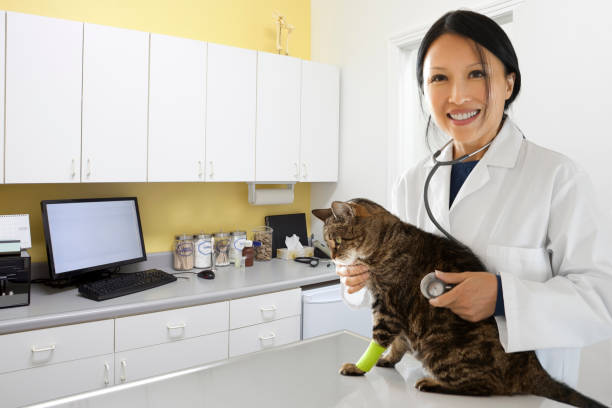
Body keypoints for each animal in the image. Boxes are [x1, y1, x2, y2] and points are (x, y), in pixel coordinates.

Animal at [316, 198, 608, 408]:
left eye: (337, 240)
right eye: (328, 242)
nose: (333, 257)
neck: (385, 243)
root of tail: (531, 366)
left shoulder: (387, 304)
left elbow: (379, 337)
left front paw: (358, 366)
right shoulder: (396, 313)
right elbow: (398, 342)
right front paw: (388, 359)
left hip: (439, 349)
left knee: (486, 388)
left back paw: (432, 384)